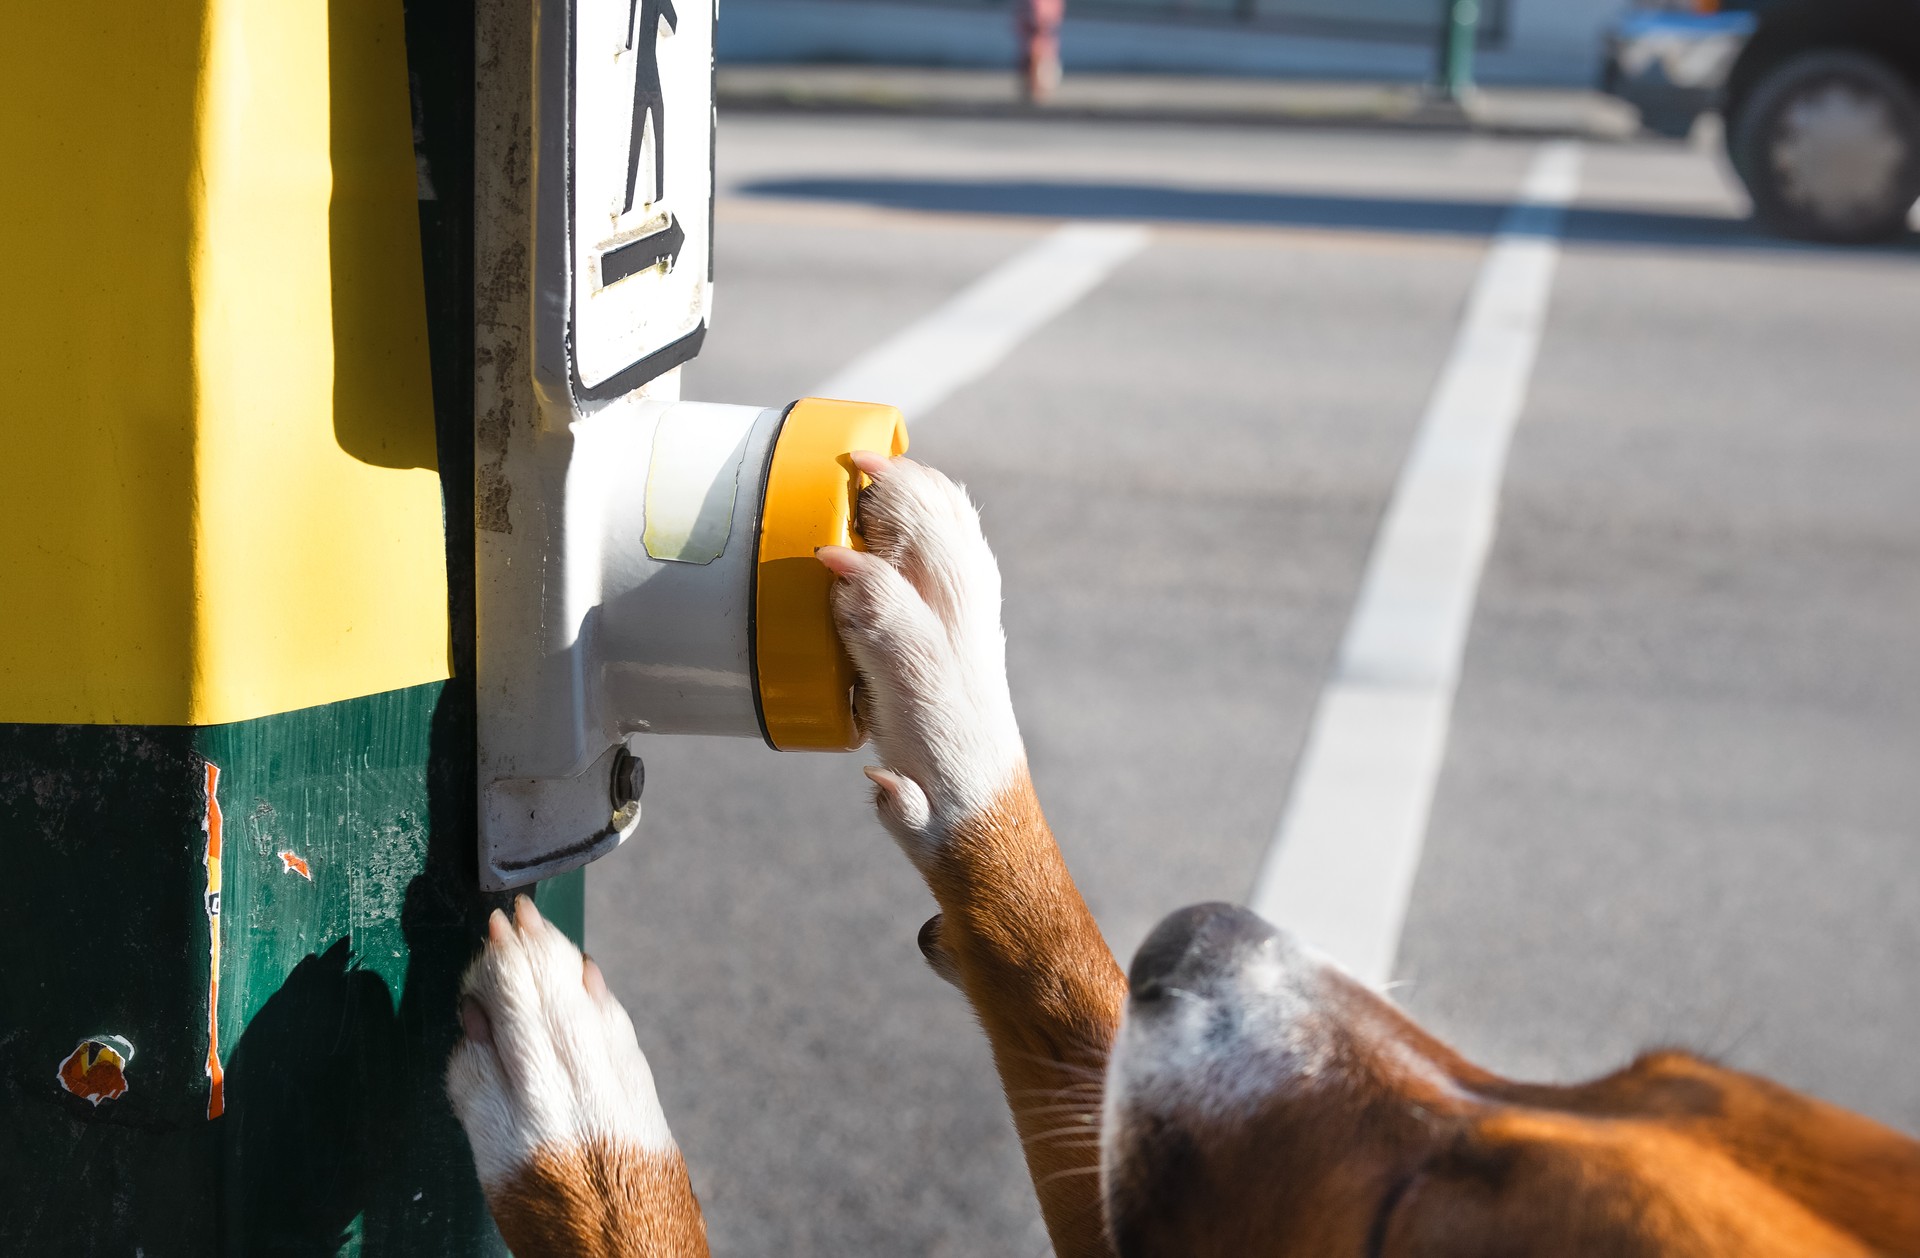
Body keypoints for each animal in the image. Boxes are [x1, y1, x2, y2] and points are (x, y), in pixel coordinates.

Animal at [449, 455, 1920, 1258]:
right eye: (1638, 1069)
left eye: (1413, 1218)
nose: (1196, 933)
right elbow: (1054, 967)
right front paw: (952, 681)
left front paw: (580, 1121)